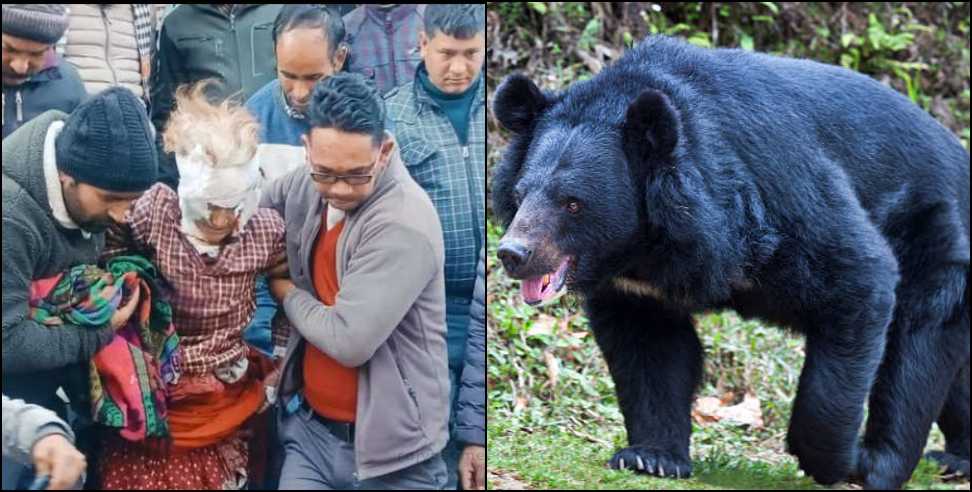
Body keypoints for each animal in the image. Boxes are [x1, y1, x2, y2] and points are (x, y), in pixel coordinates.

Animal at [491, 35, 970, 490]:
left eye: (572, 203)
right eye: (520, 194)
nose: (514, 254)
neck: (644, 245)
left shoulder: (780, 196)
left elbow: (858, 277)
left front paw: (839, 461)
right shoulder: (636, 287)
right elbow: (649, 349)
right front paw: (651, 457)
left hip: (935, 238)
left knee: (916, 352)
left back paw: (880, 463)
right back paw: (955, 458)